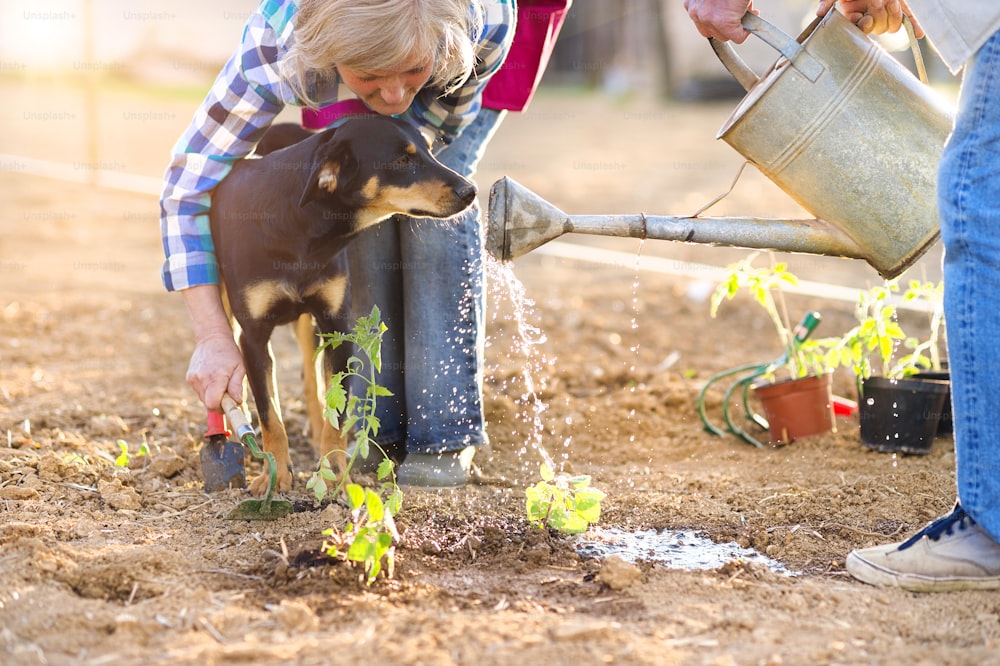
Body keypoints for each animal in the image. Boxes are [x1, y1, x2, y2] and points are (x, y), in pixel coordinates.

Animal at [210, 115, 476, 492]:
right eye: (402, 160)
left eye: (429, 149)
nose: (470, 191)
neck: (302, 228)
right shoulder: (254, 335)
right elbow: (269, 413)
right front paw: (276, 473)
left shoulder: (336, 326)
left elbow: (335, 411)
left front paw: (333, 470)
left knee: (311, 378)